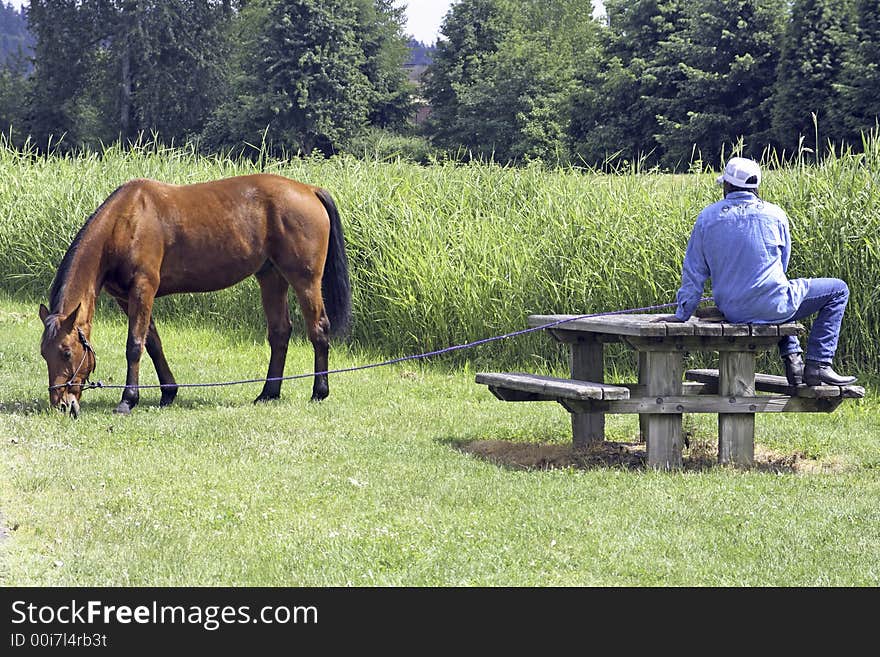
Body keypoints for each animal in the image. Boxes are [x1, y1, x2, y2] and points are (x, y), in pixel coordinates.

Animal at [37, 173, 354, 416]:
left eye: (66, 352)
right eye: (44, 353)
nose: (61, 404)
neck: (126, 221)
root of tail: (309, 190)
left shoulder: (143, 289)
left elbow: (135, 345)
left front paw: (128, 400)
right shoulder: (126, 298)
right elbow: (153, 343)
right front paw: (168, 392)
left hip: (305, 280)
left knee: (318, 329)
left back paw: (319, 391)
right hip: (271, 277)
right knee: (279, 333)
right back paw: (268, 392)